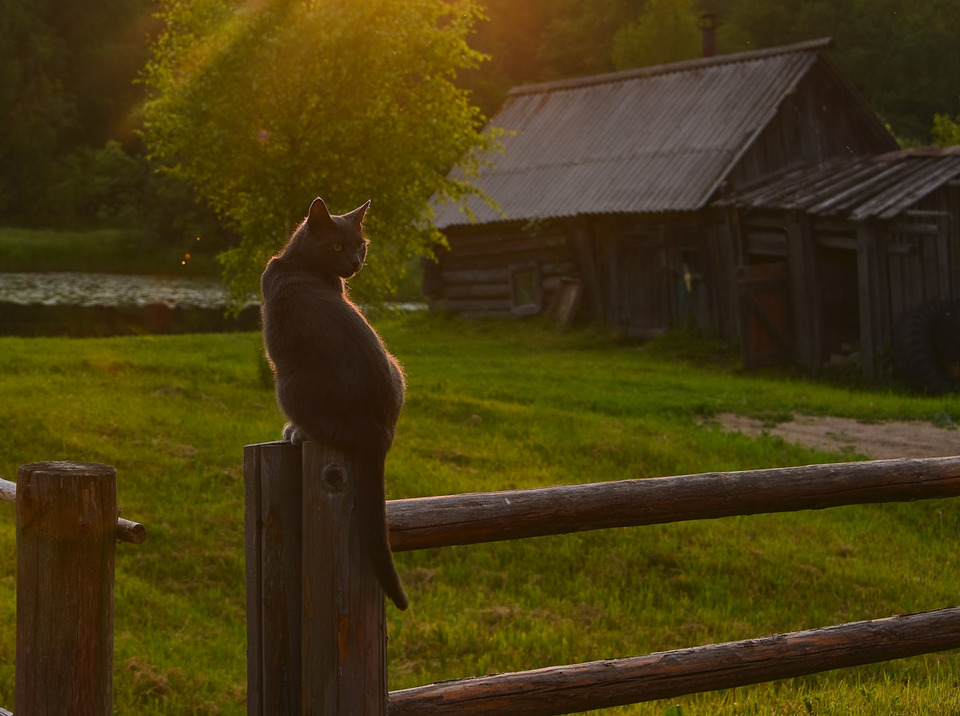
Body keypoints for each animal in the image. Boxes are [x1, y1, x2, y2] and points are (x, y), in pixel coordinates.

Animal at [262, 196, 408, 608]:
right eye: (339, 246)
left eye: (361, 245)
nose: (356, 262)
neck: (294, 262)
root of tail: (380, 433)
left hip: (287, 382)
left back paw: (294, 431)